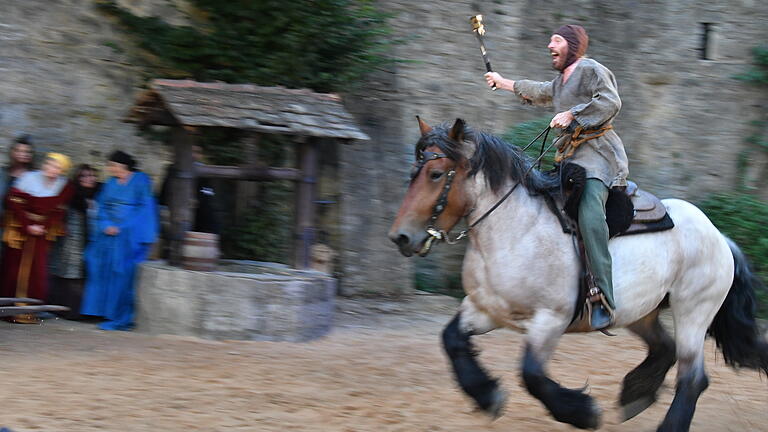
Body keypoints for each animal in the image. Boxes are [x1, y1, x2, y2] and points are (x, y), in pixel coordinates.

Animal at [390, 118, 768, 432]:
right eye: (412, 172)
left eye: (436, 174)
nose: (401, 237)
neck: (516, 230)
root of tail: (719, 237)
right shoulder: (485, 310)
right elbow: (451, 340)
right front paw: (487, 395)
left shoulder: (550, 320)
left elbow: (532, 374)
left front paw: (582, 412)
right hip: (641, 312)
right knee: (665, 348)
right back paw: (635, 395)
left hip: (693, 311)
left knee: (692, 377)